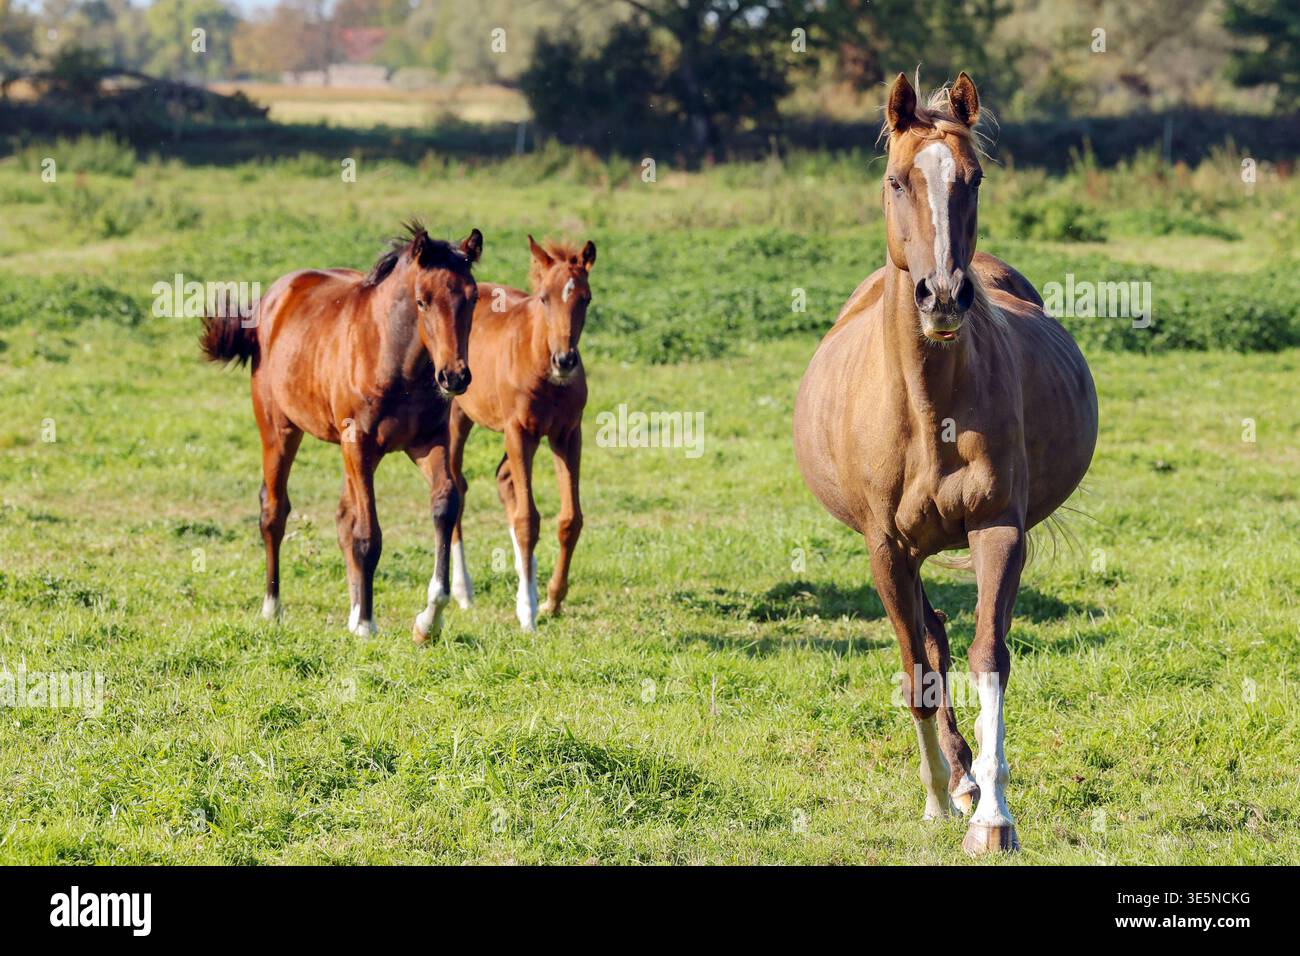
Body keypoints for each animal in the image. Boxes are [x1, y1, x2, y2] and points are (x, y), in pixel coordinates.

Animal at [200, 220, 483, 643]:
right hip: (279, 429)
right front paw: (366, 625)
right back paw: (273, 608)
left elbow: (444, 505)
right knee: (274, 511)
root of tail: (270, 299)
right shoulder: (359, 444)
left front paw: (428, 620)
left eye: (473, 298)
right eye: (422, 301)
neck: (393, 359)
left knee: (341, 516)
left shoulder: (428, 442)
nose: (454, 376)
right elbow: (367, 534)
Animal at [447, 235, 596, 631]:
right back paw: (463, 591)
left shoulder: (567, 435)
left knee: (503, 479)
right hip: (455, 417)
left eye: (586, 298)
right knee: (456, 487)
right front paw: (527, 612)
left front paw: (552, 600)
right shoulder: (518, 431)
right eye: (544, 298)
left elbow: (570, 518)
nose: (565, 361)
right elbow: (528, 518)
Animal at [792, 73, 1098, 854]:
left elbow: (990, 656)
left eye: (974, 179)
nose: (943, 296)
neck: (931, 412)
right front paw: (939, 794)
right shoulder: (885, 548)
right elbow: (915, 668)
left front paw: (993, 816)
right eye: (896, 180)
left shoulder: (998, 531)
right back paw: (954, 781)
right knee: (929, 641)